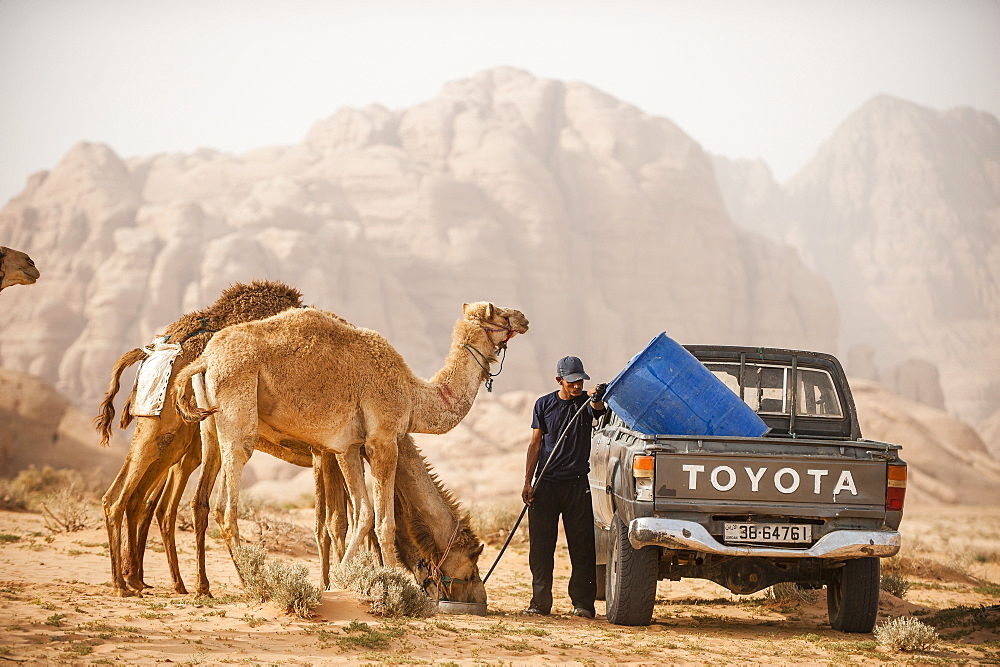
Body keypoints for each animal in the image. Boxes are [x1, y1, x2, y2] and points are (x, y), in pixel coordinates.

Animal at [95, 280, 302, 596]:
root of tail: (154, 349)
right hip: (166, 428)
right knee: (126, 498)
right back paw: (125, 583)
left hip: (180, 438)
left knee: (147, 500)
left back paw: (149, 580)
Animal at [175, 304, 528, 580]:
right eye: (500, 312)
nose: (523, 318)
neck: (413, 394)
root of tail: (205, 360)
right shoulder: (383, 441)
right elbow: (384, 522)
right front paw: (392, 583)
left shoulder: (347, 447)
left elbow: (363, 514)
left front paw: (343, 578)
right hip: (239, 407)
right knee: (227, 503)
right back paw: (254, 581)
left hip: (210, 426)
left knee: (209, 494)